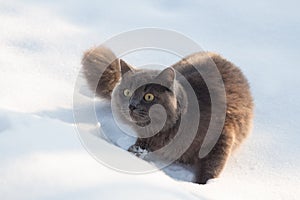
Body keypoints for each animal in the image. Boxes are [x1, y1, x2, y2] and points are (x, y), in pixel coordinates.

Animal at [81, 45, 253, 184]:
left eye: (149, 96)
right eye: (127, 92)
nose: (132, 105)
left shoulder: (222, 135)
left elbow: (212, 167)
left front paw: (204, 186)